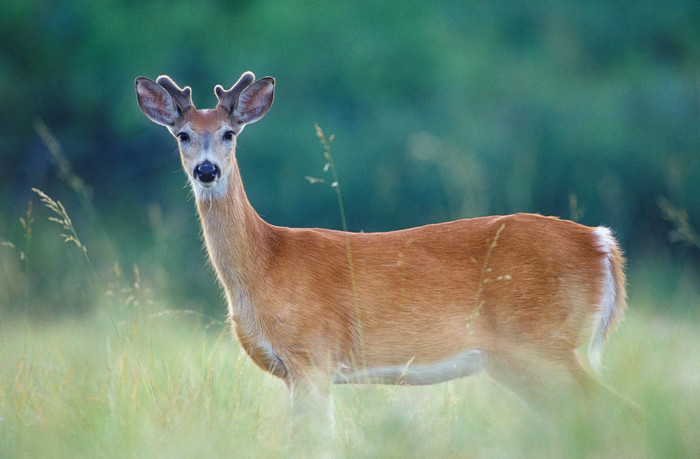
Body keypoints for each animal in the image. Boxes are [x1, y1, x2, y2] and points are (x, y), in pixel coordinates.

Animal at [135, 71, 628, 414]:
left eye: (229, 133)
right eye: (182, 135)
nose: (207, 170)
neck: (267, 262)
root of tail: (602, 243)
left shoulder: (313, 356)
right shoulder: (300, 372)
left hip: (543, 341)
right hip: (521, 358)